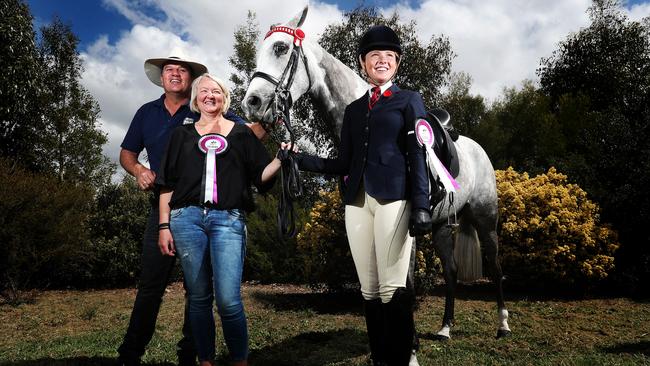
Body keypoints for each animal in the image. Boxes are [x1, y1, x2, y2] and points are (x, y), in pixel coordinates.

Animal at [240, 5, 508, 340]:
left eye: (280, 48)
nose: (251, 103)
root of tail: (478, 150)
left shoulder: (405, 229)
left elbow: (403, 285)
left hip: (486, 219)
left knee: (495, 267)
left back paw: (503, 325)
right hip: (442, 227)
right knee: (451, 271)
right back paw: (445, 328)